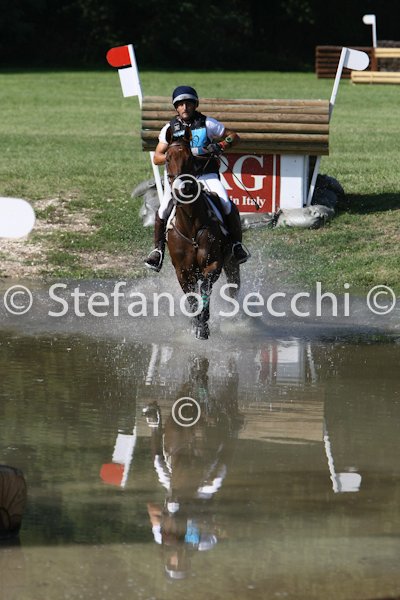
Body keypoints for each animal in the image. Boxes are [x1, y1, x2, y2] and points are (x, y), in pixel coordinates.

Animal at [164, 128, 240, 340]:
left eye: (189, 157)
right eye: (167, 158)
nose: (182, 188)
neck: (190, 225)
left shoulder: (212, 264)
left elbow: (205, 290)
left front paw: (203, 326)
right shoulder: (183, 271)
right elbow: (191, 299)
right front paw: (196, 324)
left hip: (232, 263)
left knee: (233, 289)